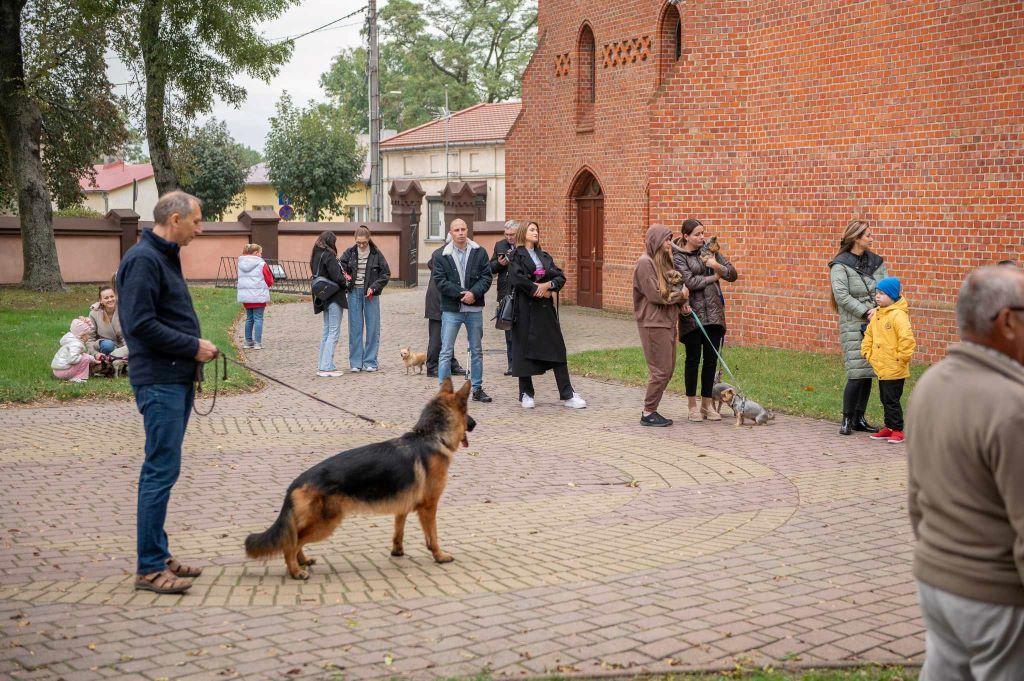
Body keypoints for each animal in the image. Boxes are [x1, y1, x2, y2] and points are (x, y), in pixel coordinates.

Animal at [243, 376, 475, 577]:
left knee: (295, 539)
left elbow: (398, 531)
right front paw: (439, 556)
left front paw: (397, 551)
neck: (431, 436)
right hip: (326, 523)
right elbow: (432, 537)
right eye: (467, 412)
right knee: (290, 543)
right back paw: (295, 571)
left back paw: (303, 561)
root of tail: (297, 482)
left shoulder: (402, 505)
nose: (474, 424)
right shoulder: (429, 507)